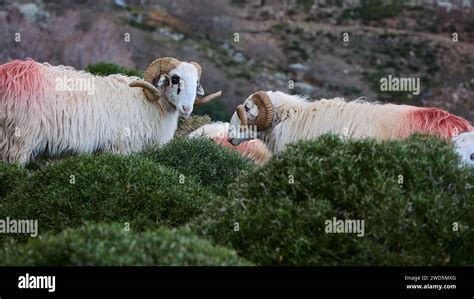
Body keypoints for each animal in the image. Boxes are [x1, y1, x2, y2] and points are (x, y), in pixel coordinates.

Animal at [0, 57, 222, 165]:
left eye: (197, 82)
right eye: (175, 79)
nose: (187, 108)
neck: (147, 103)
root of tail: (9, 73)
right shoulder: (120, 149)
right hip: (18, 142)